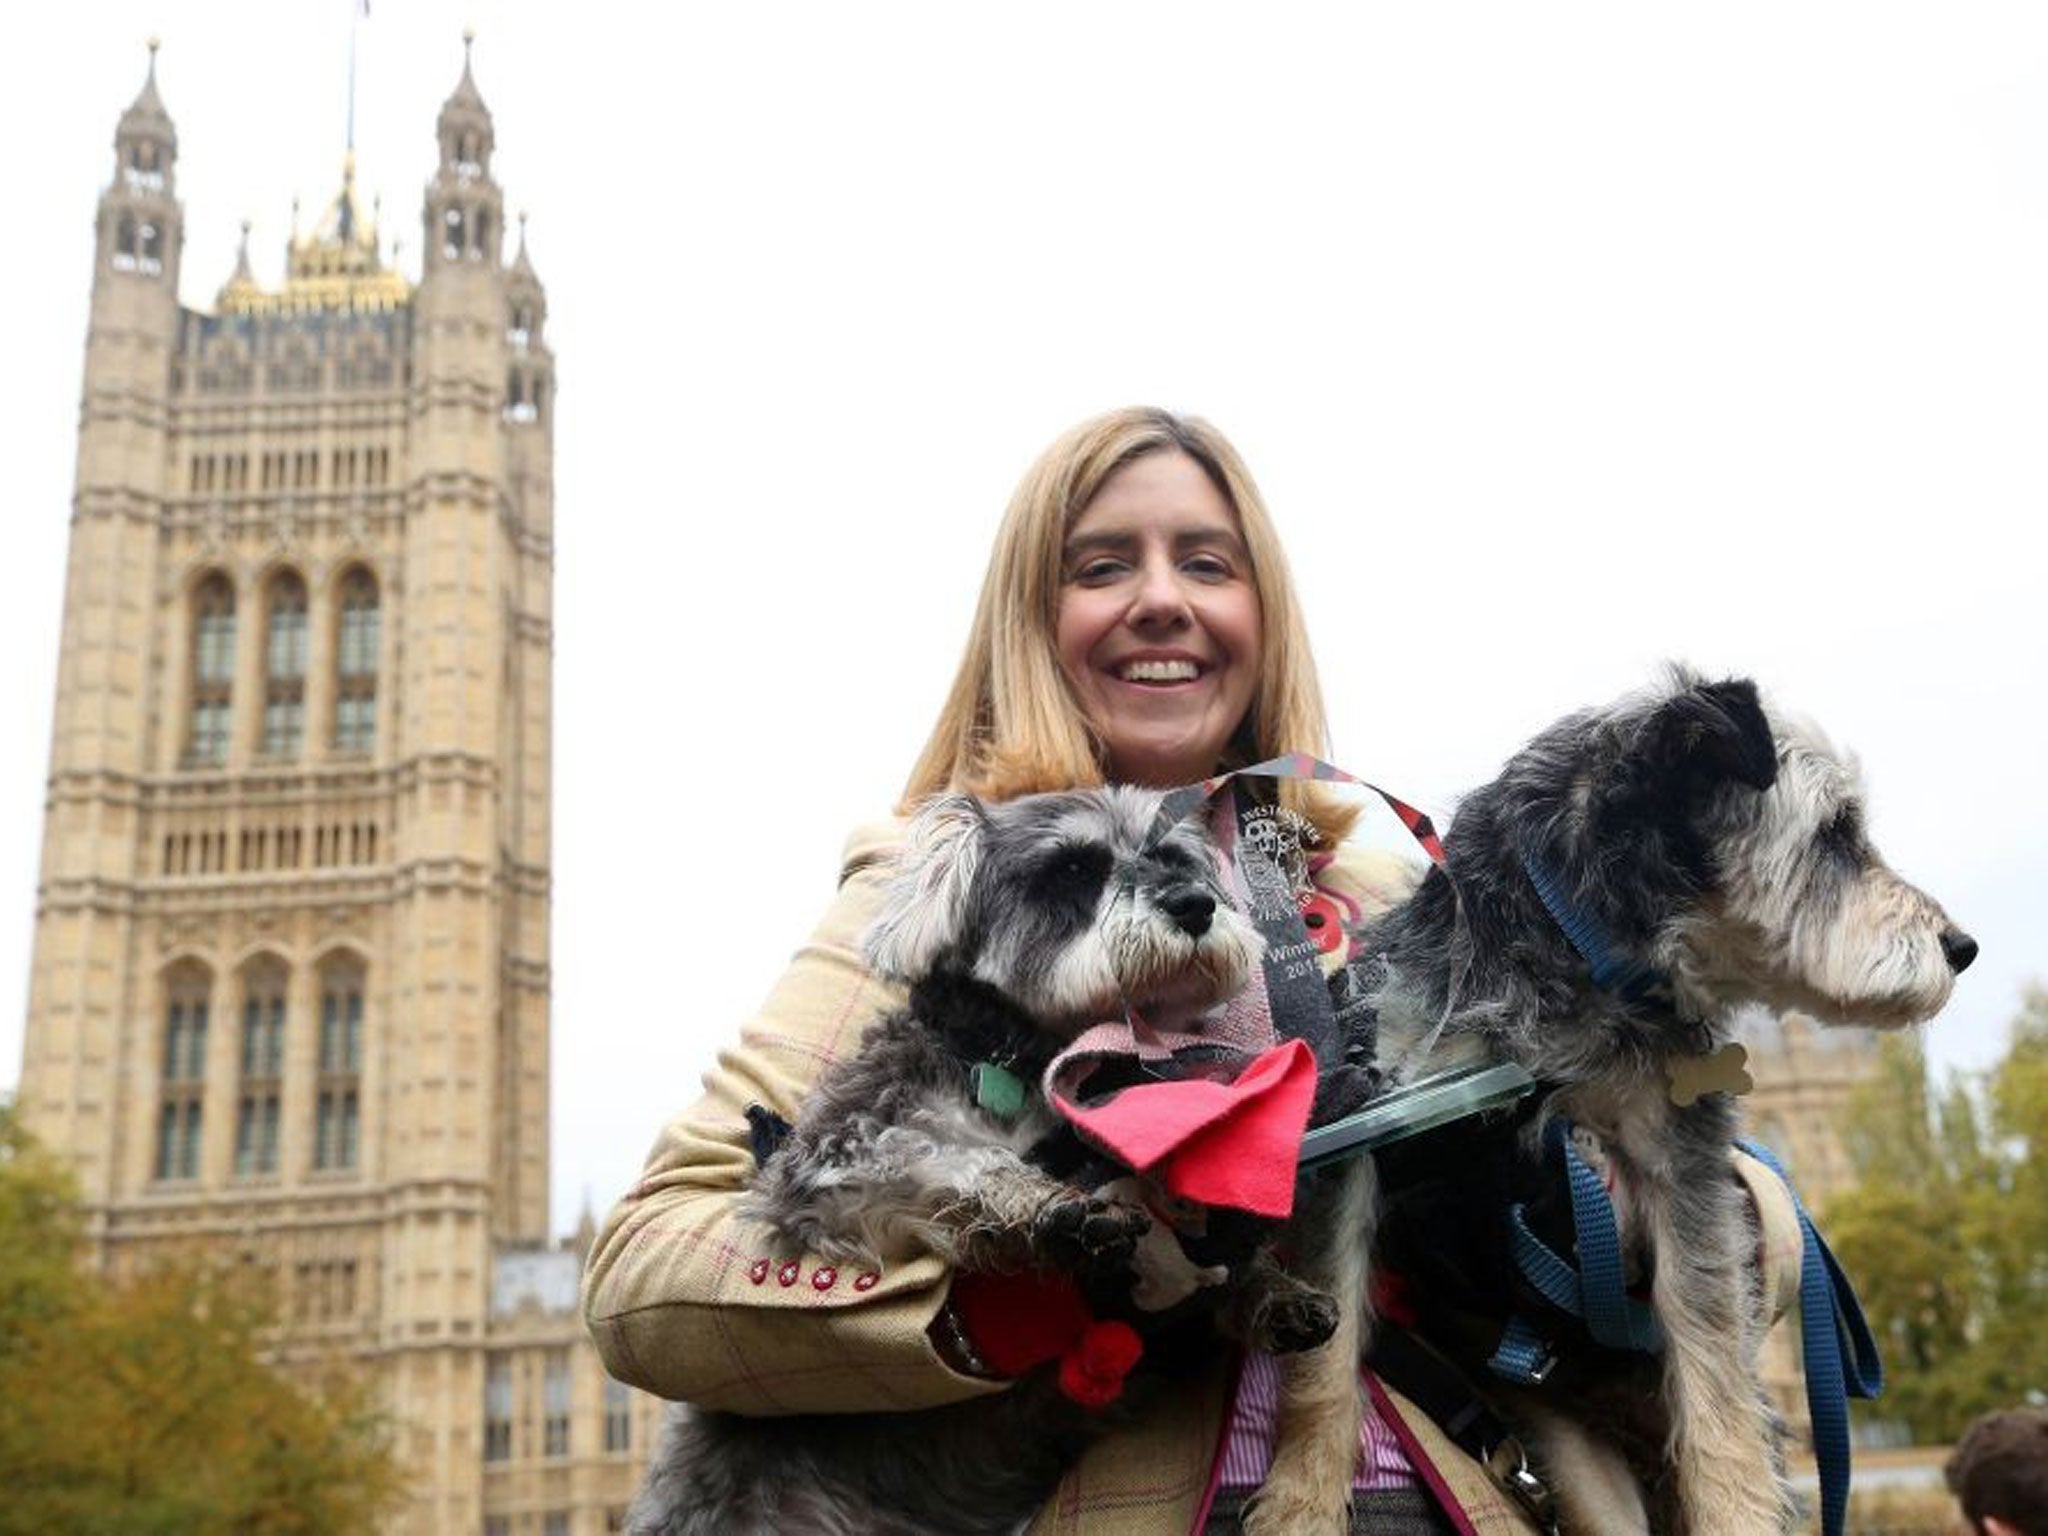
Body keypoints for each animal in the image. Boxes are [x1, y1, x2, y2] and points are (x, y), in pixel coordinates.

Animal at [630, 786, 1351, 1531]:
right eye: (1072, 869)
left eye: (1174, 858)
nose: (1194, 905)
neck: (1035, 1061)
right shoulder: (833, 1168)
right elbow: (954, 1162)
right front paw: (1047, 1207)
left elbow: (1216, 1254)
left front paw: (1275, 1290)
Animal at [1253, 671, 1974, 1536]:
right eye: (1837, 832)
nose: (1962, 948)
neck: (1583, 962)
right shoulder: (1367, 1136)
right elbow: (1324, 1364)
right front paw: (1298, 1503)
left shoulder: (1681, 1171)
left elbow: (1715, 1381)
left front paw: (1737, 1510)